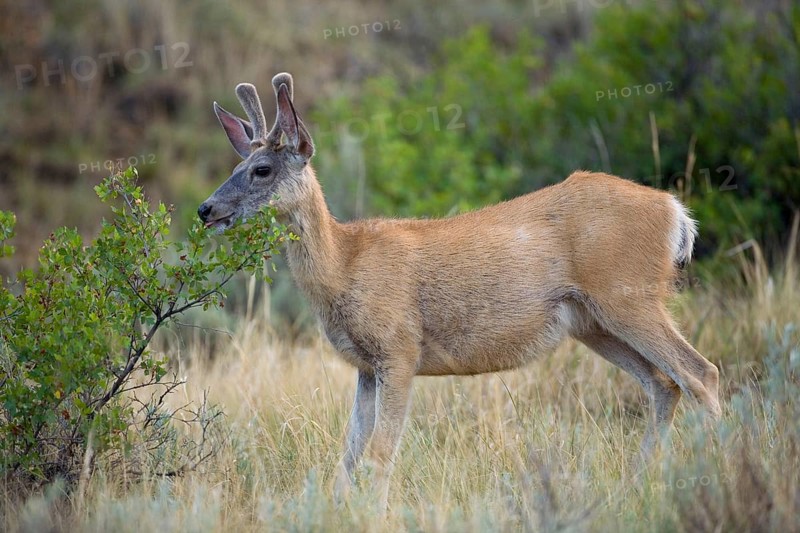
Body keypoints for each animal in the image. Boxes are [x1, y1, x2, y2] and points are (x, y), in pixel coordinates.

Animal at [198, 72, 722, 509]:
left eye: (262, 169)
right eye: (238, 165)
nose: (206, 209)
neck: (345, 265)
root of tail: (676, 212)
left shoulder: (399, 350)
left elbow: (379, 455)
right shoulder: (366, 366)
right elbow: (346, 459)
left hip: (628, 296)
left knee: (700, 373)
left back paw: (718, 470)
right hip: (592, 322)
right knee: (664, 383)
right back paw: (638, 485)